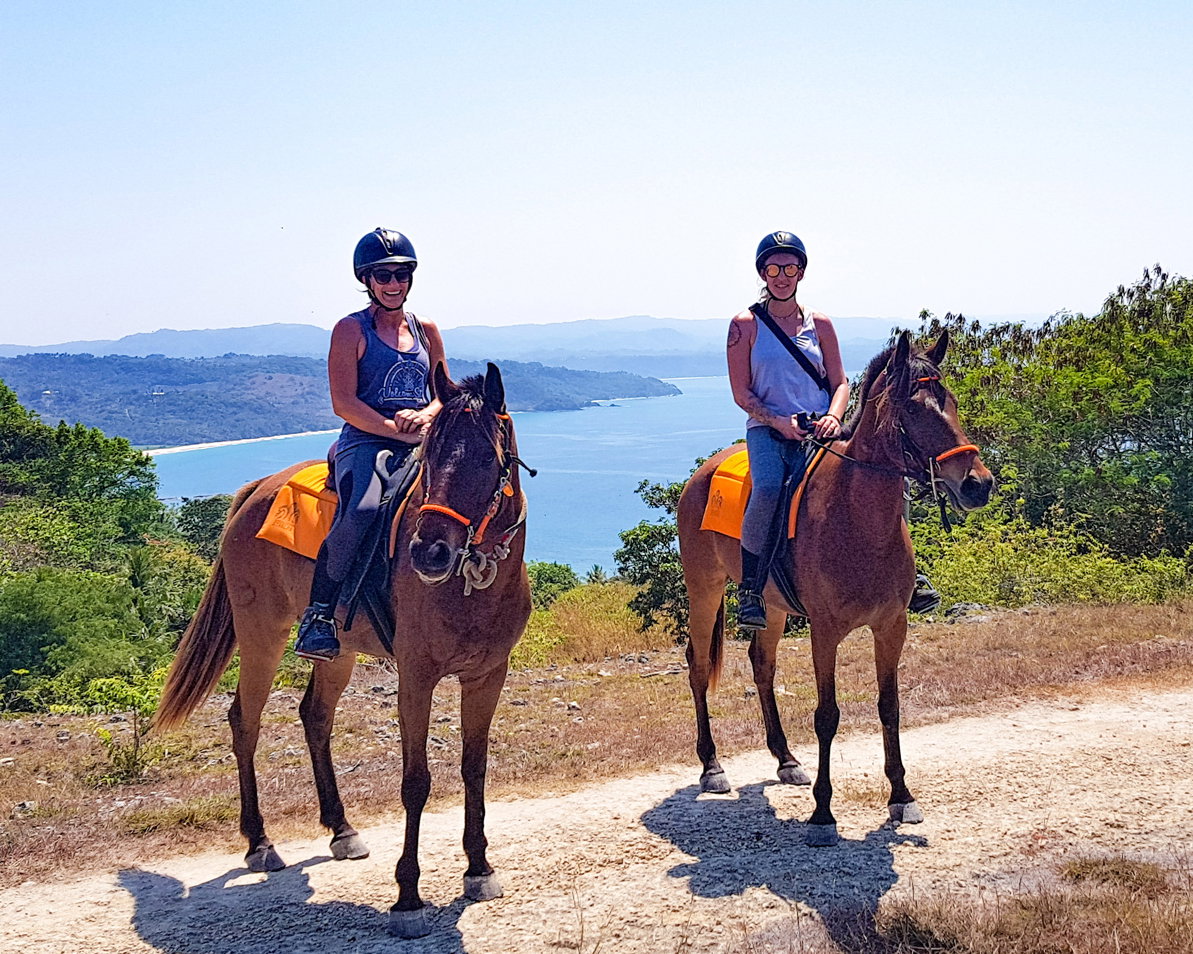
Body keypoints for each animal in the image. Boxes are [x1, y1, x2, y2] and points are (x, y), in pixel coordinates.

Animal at [153, 362, 532, 938]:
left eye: (488, 458)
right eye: (430, 456)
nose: (429, 551)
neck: (472, 586)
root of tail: (257, 489)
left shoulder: (488, 674)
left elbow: (474, 767)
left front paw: (479, 868)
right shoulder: (416, 675)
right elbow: (415, 781)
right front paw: (408, 897)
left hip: (339, 651)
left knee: (314, 715)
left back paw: (341, 828)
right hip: (262, 634)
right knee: (244, 720)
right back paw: (259, 841)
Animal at [676, 331, 994, 846]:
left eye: (951, 402)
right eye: (913, 408)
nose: (978, 484)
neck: (857, 518)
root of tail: (703, 474)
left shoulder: (891, 626)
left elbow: (890, 707)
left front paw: (901, 795)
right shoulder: (825, 632)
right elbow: (827, 716)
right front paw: (823, 813)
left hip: (771, 605)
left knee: (762, 664)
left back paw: (785, 759)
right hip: (704, 588)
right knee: (699, 666)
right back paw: (712, 766)